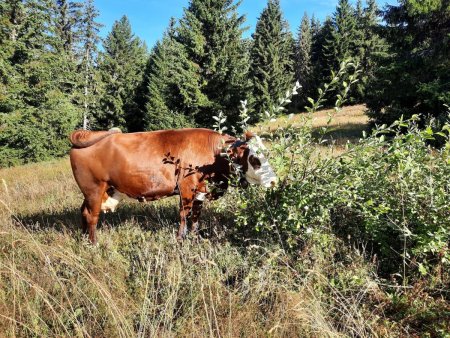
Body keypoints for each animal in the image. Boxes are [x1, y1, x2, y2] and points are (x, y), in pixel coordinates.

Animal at [69, 127, 278, 243]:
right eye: (254, 159)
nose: (274, 180)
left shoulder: (200, 190)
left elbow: (196, 217)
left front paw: (194, 238)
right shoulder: (186, 188)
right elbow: (184, 216)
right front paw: (180, 240)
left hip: (93, 192)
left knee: (84, 212)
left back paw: (84, 240)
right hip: (94, 188)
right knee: (92, 216)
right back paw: (94, 243)